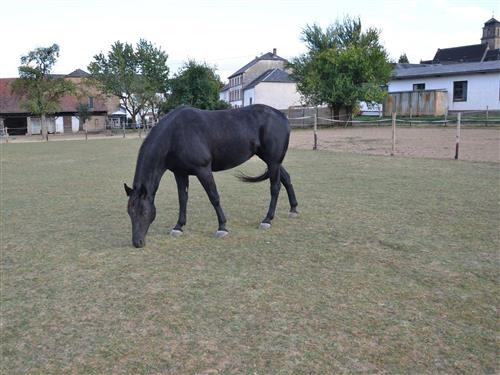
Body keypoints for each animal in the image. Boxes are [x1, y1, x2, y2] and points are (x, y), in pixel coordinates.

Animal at [124, 104, 296, 248]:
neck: (174, 135)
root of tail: (281, 116)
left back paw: (267, 219)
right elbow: (182, 199)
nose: (137, 242)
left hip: (273, 161)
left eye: (144, 212)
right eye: (130, 212)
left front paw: (222, 227)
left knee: (275, 187)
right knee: (286, 179)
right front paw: (178, 227)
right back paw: (293, 209)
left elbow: (214, 197)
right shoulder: (180, 173)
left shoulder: (203, 170)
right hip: (271, 161)